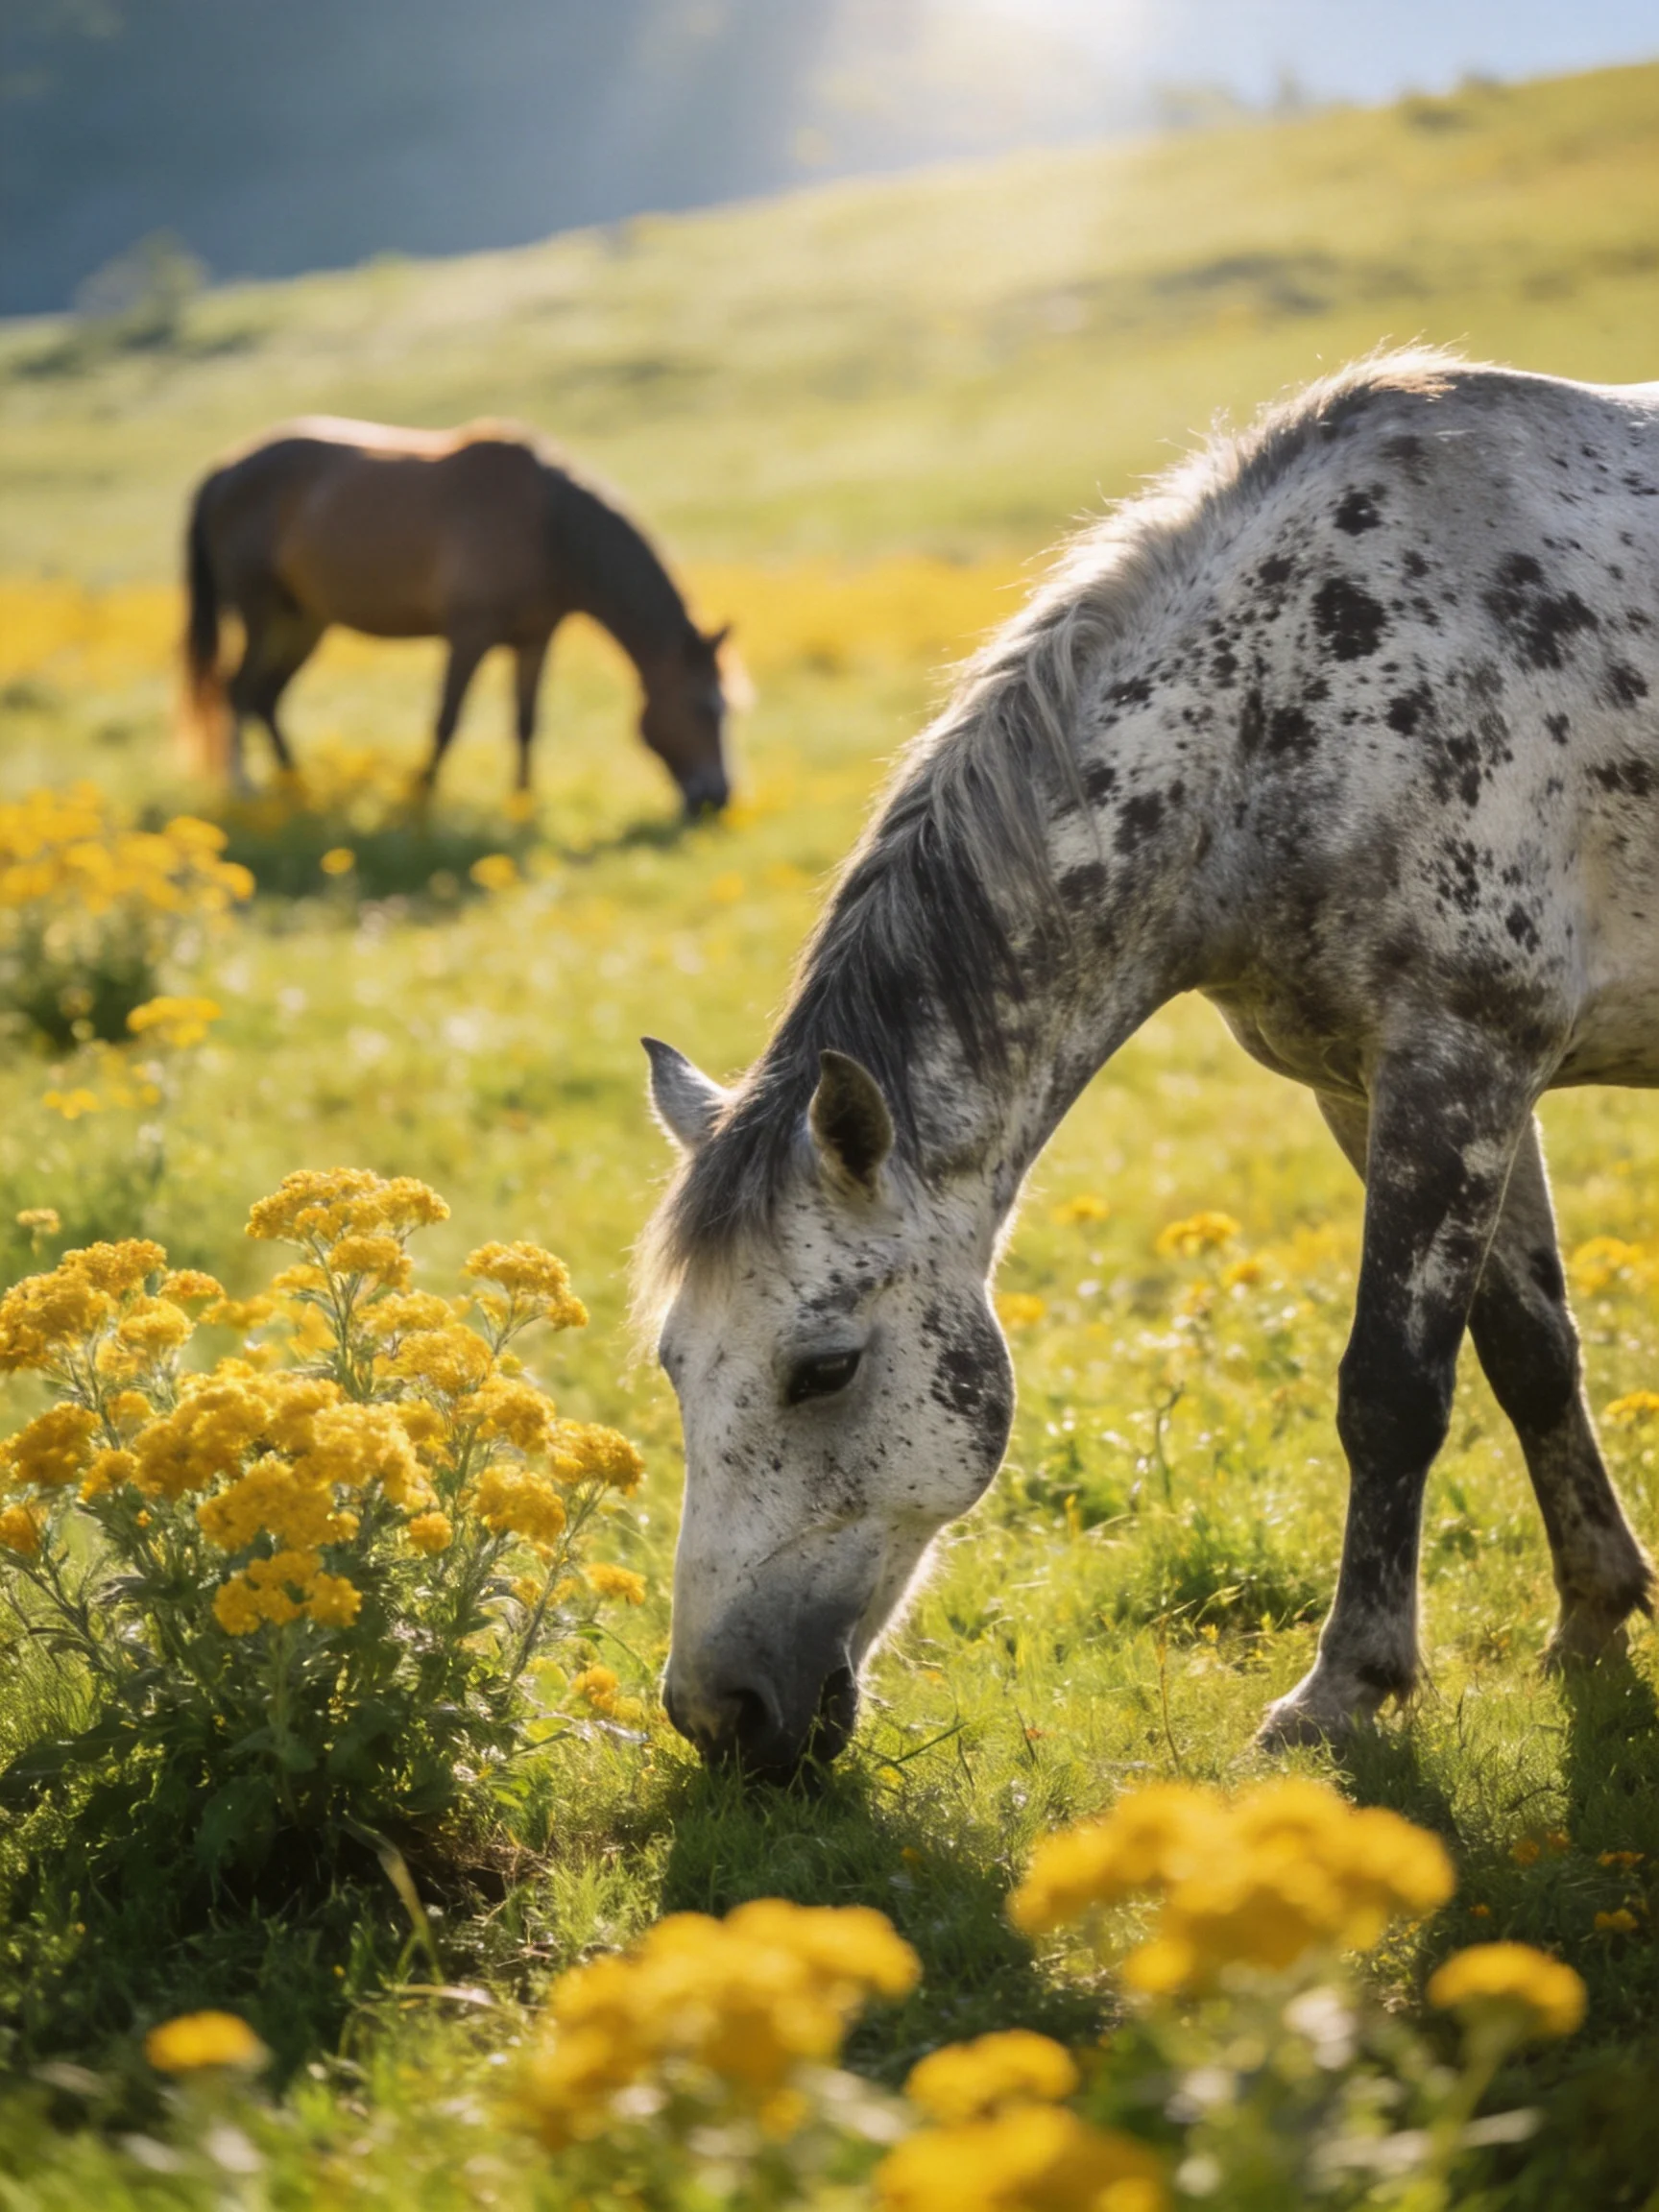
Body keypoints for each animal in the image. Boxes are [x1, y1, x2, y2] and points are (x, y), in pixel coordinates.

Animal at [182, 417, 734, 810]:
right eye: (705, 707)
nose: (720, 797)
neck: (548, 531)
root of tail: (223, 470)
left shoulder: (535, 639)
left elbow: (526, 723)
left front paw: (524, 805)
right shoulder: (470, 633)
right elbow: (446, 719)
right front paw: (421, 799)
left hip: (306, 621)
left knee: (266, 698)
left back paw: (299, 786)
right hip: (262, 612)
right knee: (237, 690)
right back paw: (247, 789)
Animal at [639, 349, 1658, 1782]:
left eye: (823, 1367)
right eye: (676, 1364)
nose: (717, 1717)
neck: (1285, 714)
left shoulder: (1459, 1063)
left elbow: (1392, 1392)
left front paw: (1345, 1687)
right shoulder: (1388, 1085)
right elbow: (1531, 1354)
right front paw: (1593, 1616)